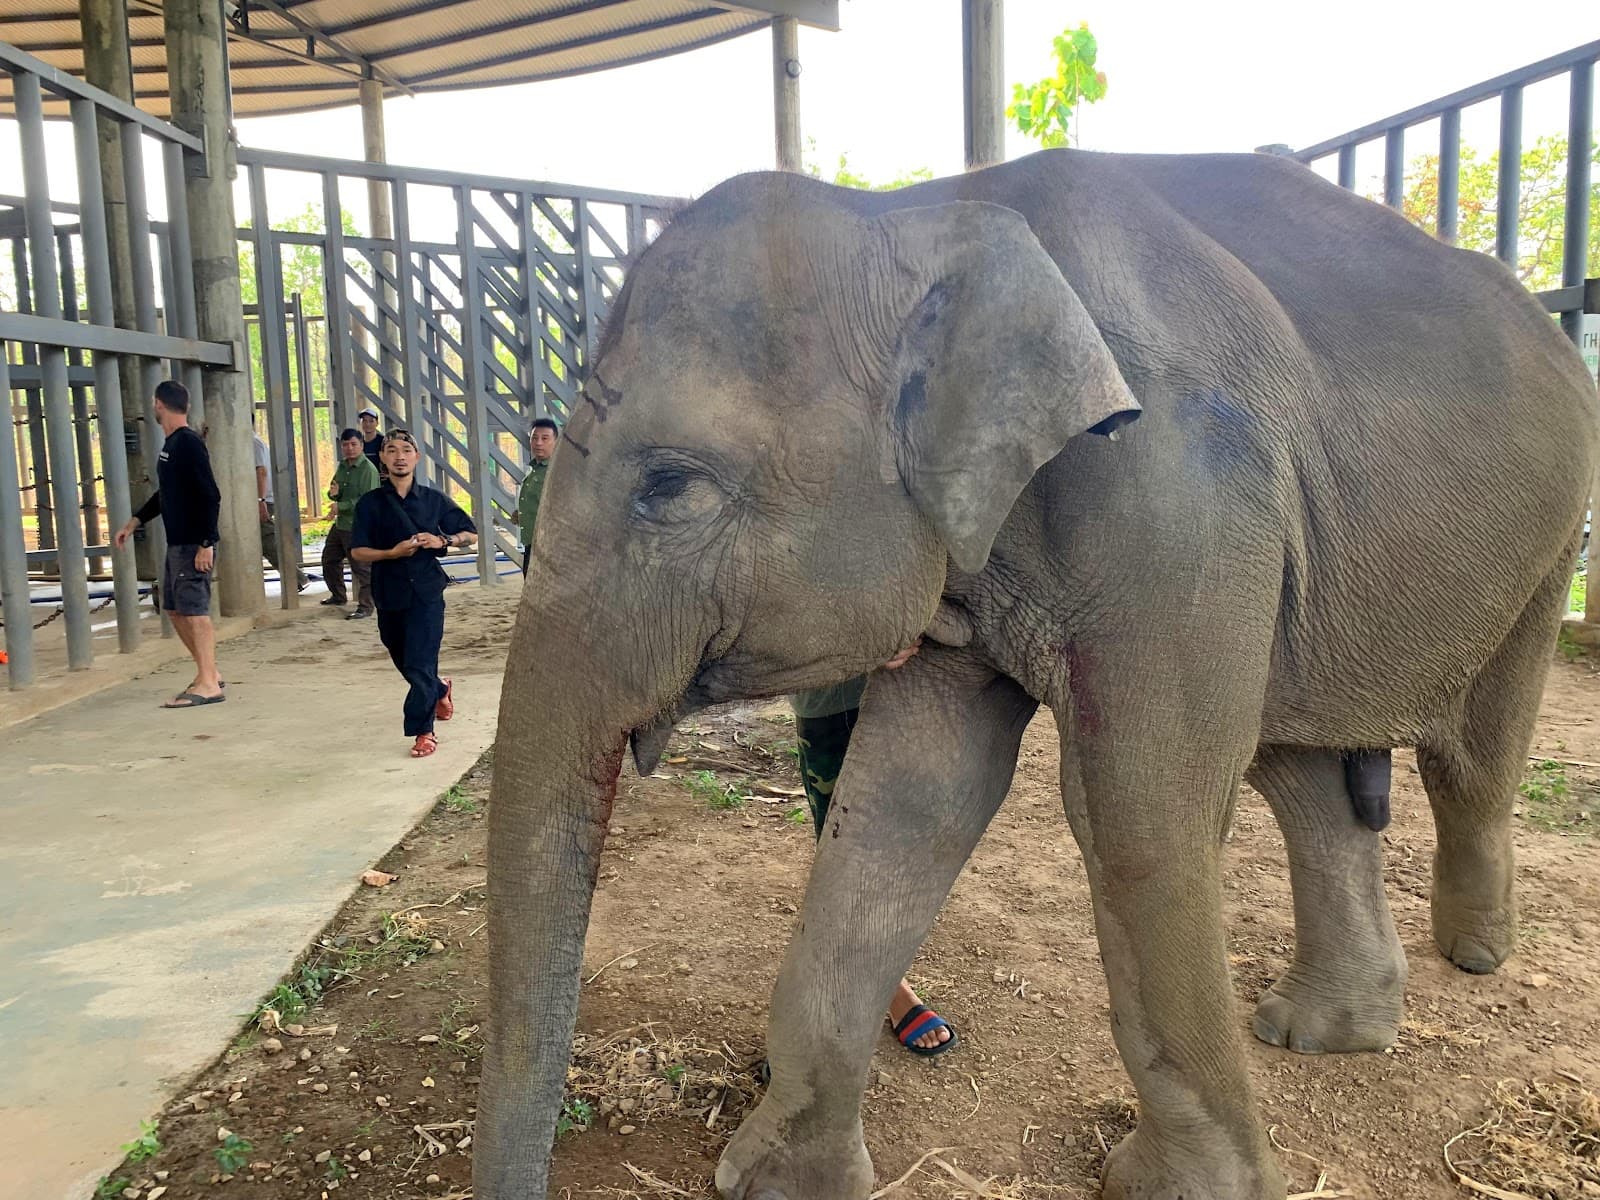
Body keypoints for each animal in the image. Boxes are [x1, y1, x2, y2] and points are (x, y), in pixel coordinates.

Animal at [475, 148, 1599, 1200]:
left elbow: (1138, 814)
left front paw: (1173, 1192)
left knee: (1469, 755)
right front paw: (776, 1183)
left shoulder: (1184, 499)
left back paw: (1474, 952)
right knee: (1303, 774)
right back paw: (1317, 1032)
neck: (922, 212)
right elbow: (910, 798)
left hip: (1550, 537)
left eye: (670, 488)